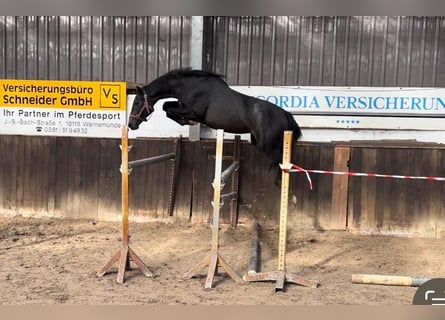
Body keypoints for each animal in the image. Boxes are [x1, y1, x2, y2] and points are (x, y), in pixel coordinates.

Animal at [129, 68, 302, 182]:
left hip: (267, 147)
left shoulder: (193, 112)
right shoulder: (182, 106)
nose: (131, 125)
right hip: (264, 143)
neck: (189, 86)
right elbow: (167, 107)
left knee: (284, 163)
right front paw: (185, 121)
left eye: (136, 102)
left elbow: (169, 109)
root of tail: (285, 114)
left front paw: (187, 121)